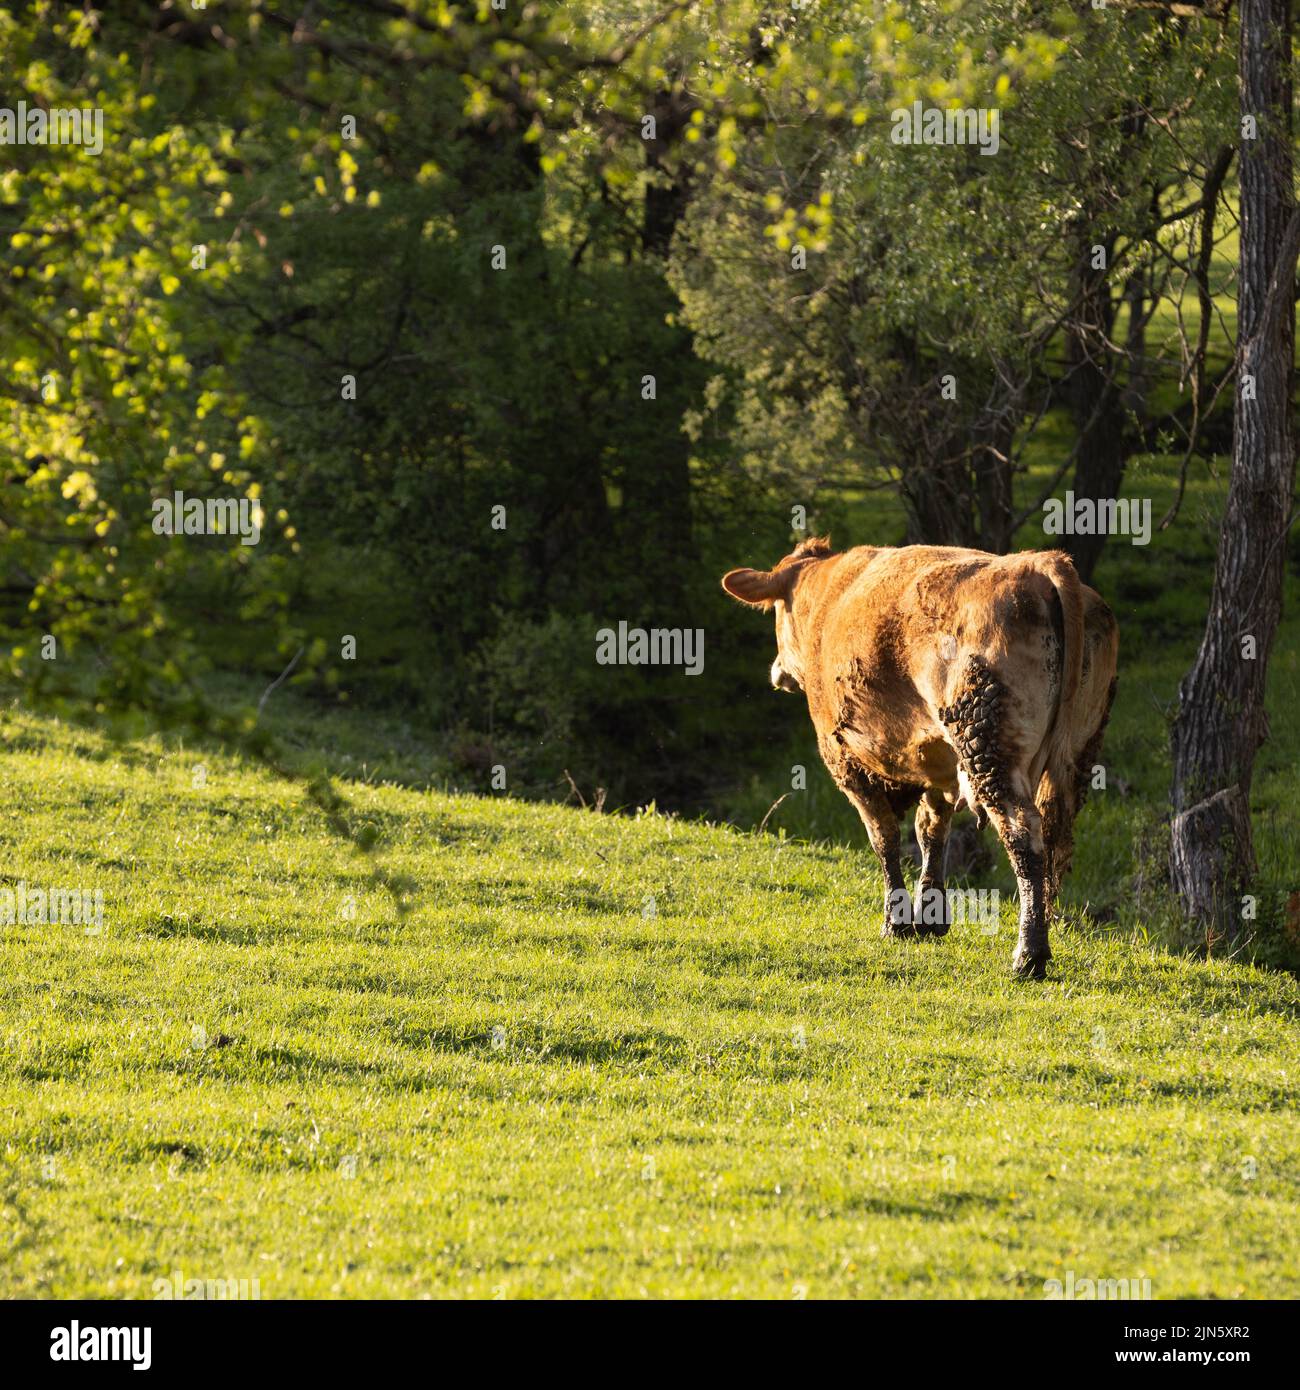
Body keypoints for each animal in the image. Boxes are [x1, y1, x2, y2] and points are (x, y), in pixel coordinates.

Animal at [722, 539, 1118, 978]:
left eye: (778, 612)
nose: (778, 671)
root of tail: (1036, 563)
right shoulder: (937, 762)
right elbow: (931, 831)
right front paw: (930, 916)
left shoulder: (845, 761)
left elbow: (883, 837)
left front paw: (896, 921)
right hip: (1076, 751)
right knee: (1052, 839)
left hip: (987, 745)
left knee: (1022, 833)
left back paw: (1028, 955)